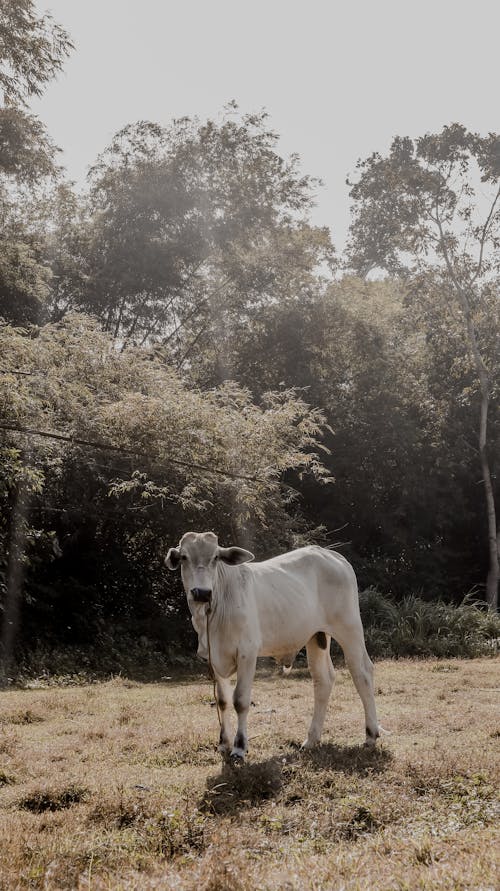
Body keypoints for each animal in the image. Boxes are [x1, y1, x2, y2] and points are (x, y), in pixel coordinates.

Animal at [166, 532, 380, 764]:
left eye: (215, 557)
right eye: (184, 557)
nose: (202, 593)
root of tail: (332, 555)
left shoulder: (247, 653)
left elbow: (240, 700)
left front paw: (239, 747)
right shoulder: (213, 658)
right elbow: (222, 701)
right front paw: (223, 743)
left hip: (349, 629)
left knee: (362, 673)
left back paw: (371, 734)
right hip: (316, 636)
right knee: (323, 680)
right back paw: (311, 739)